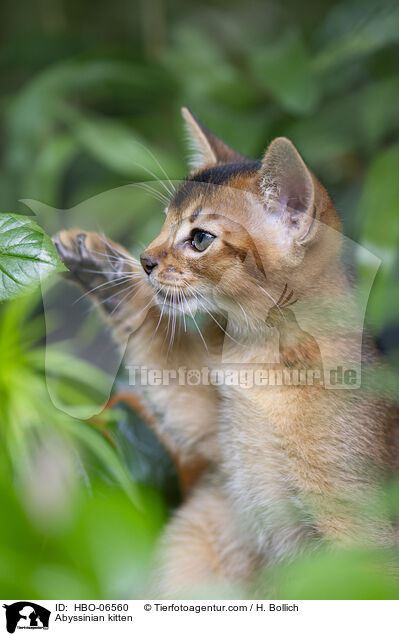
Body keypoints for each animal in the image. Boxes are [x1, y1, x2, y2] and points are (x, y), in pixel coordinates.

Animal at [52, 107, 396, 600]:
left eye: (199, 239)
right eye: (163, 222)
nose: (145, 260)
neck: (255, 359)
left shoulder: (357, 531)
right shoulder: (213, 436)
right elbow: (160, 355)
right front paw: (107, 275)